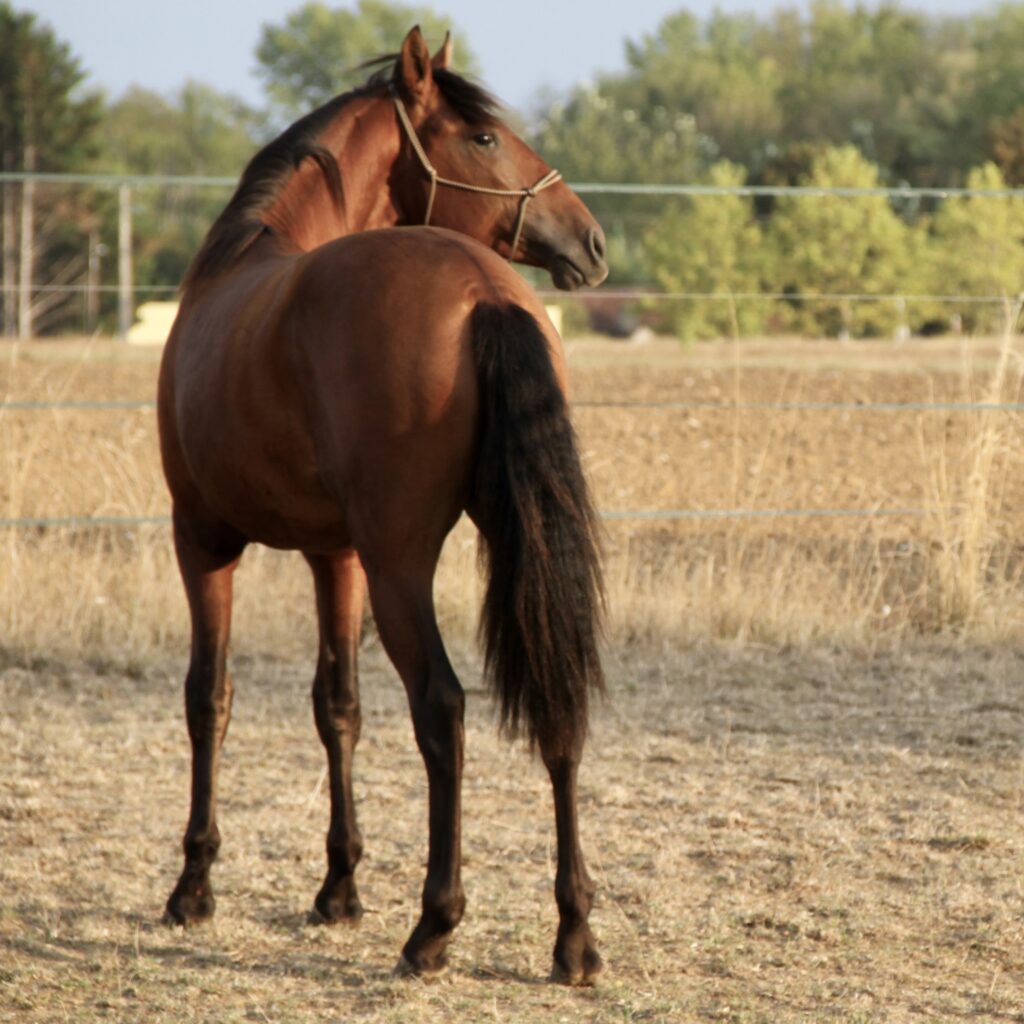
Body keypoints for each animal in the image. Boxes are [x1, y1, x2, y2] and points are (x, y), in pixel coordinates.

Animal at [159, 25, 606, 983]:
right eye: (483, 137)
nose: (590, 242)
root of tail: (486, 293)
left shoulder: (202, 540)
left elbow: (209, 697)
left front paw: (194, 887)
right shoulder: (339, 556)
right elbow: (339, 705)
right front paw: (338, 888)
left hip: (402, 565)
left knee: (442, 708)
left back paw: (433, 927)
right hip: (497, 553)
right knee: (557, 705)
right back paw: (575, 934)